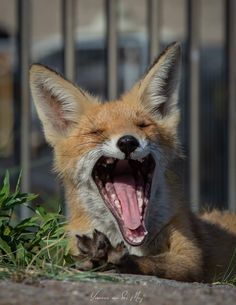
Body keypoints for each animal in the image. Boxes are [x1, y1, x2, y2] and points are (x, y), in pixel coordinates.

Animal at [29, 41, 236, 282]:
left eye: (142, 125)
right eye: (96, 132)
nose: (128, 142)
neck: (129, 240)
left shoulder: (190, 256)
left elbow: (155, 262)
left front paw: (116, 260)